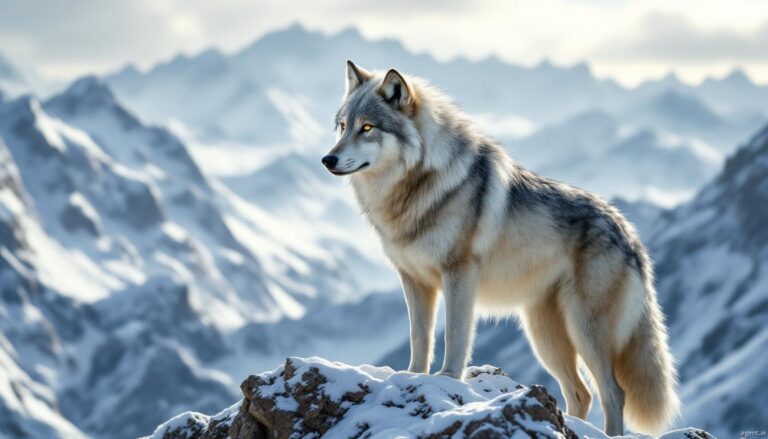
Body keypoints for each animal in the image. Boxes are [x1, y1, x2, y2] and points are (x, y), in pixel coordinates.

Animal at [321, 60, 680, 436]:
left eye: (367, 128)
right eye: (343, 126)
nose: (327, 159)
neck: (414, 186)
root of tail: (630, 232)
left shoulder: (459, 274)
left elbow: (454, 336)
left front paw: (448, 378)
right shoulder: (414, 280)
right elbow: (420, 337)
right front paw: (413, 376)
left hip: (584, 330)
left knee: (613, 392)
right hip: (545, 335)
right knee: (582, 393)